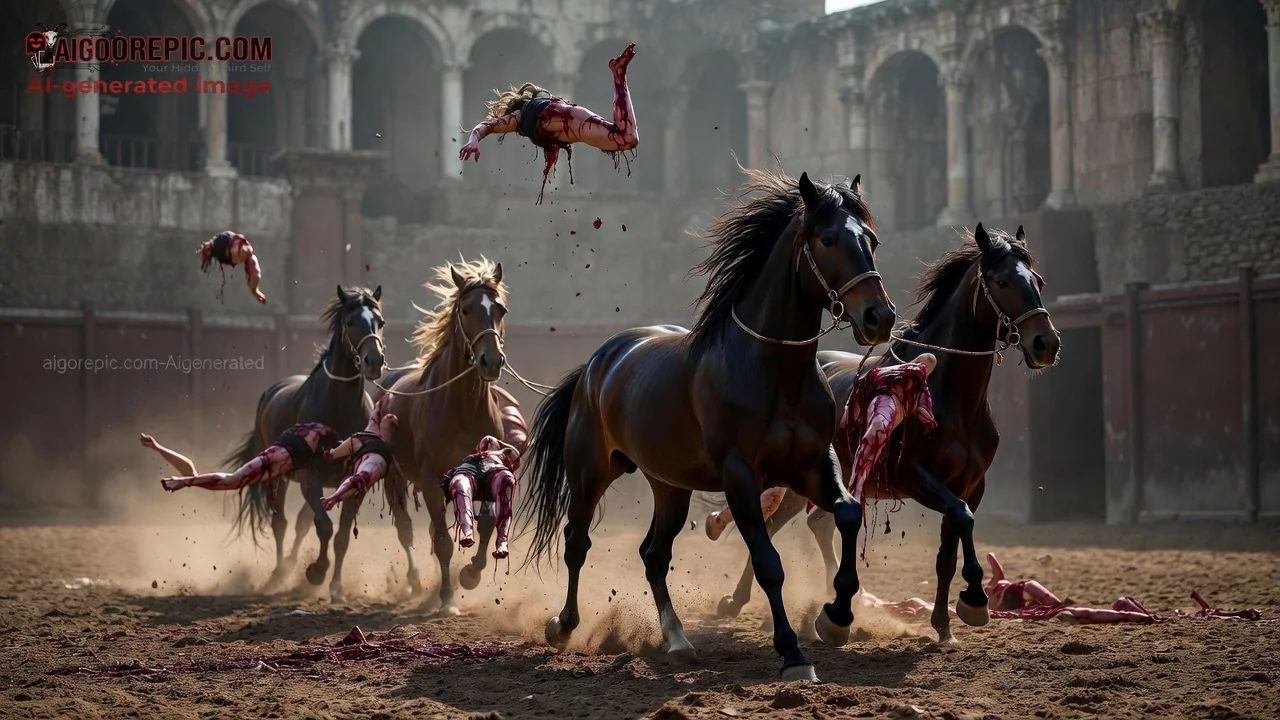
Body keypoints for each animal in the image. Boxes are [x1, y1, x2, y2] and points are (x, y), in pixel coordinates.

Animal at [228, 285, 387, 597]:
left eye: (380, 321)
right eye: (351, 321)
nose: (374, 361)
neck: (338, 408)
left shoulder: (353, 482)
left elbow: (341, 533)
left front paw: (336, 585)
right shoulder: (310, 477)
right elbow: (323, 526)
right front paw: (317, 571)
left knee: (300, 523)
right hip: (279, 478)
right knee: (280, 522)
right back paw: (278, 573)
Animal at [376, 258, 511, 614]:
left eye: (501, 309)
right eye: (465, 309)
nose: (491, 361)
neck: (463, 410)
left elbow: (486, 525)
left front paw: (471, 575)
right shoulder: (430, 480)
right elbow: (442, 542)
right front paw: (448, 599)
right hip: (395, 479)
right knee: (406, 530)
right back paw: (415, 583)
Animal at [517, 167, 896, 681]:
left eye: (871, 240)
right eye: (829, 238)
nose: (879, 317)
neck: (775, 371)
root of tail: (598, 362)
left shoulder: (813, 465)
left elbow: (848, 514)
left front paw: (835, 619)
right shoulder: (740, 478)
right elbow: (768, 563)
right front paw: (793, 654)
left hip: (669, 486)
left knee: (654, 556)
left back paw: (677, 640)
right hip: (590, 473)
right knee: (577, 542)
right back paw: (563, 626)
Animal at [712, 224, 1061, 646]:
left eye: (1037, 281)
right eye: (1002, 280)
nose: (1046, 343)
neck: (951, 396)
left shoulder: (970, 486)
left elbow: (949, 551)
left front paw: (944, 626)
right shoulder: (916, 477)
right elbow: (961, 520)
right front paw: (974, 602)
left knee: (814, 524)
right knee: (777, 523)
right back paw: (739, 601)